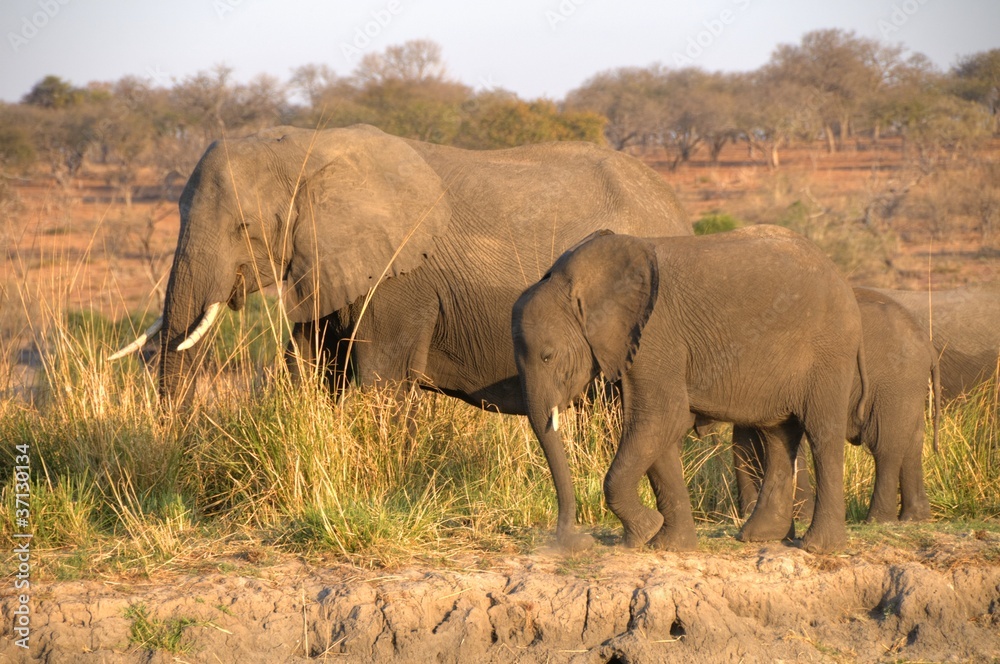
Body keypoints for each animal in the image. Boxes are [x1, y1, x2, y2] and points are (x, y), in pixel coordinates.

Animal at [512, 226, 864, 552]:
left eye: (547, 356)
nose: (578, 542)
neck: (578, 281)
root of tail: (839, 274)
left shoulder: (654, 334)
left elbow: (662, 418)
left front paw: (646, 532)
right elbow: (658, 433)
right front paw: (665, 543)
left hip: (830, 350)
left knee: (822, 433)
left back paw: (818, 546)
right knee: (777, 433)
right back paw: (759, 536)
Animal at [732, 288, 940, 536]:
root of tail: (928, 345)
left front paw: (800, 516)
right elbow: (745, 439)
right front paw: (748, 514)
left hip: (896, 384)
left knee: (887, 445)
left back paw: (878, 520)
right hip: (909, 387)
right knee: (912, 443)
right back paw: (914, 519)